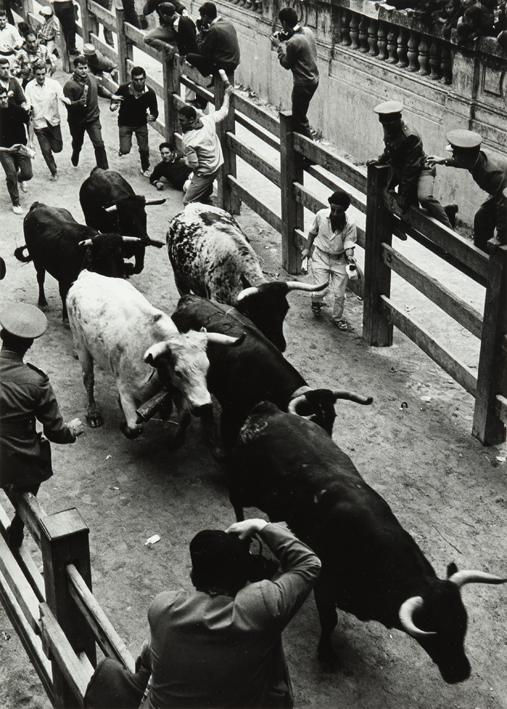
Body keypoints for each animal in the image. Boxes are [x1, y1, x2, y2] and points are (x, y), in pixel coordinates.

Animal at [231, 404, 507, 684]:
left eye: (463, 625)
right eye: (433, 631)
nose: (461, 673)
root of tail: (268, 411)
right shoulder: (325, 585)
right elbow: (329, 620)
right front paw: (326, 654)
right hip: (250, 488)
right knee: (236, 501)